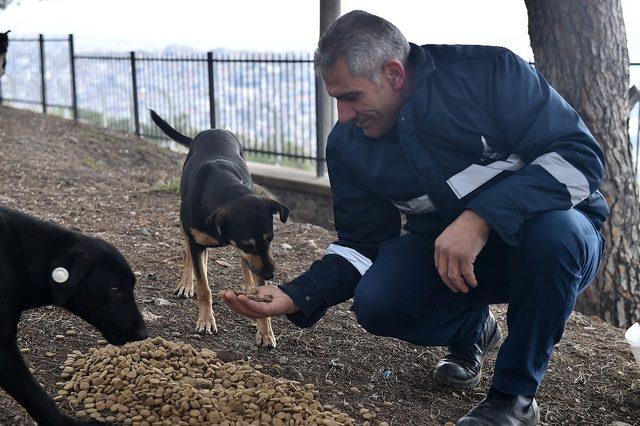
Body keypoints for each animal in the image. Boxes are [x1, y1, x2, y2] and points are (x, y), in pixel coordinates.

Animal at [149, 110, 288, 350]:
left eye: (270, 239)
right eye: (247, 244)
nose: (271, 274)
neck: (226, 189)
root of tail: (212, 129)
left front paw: (265, 332)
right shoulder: (198, 242)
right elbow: (204, 287)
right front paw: (206, 320)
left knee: (242, 265)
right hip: (188, 231)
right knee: (188, 254)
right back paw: (186, 284)